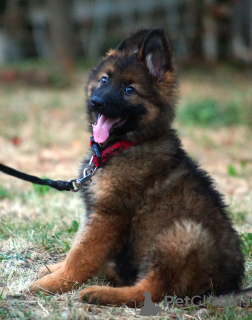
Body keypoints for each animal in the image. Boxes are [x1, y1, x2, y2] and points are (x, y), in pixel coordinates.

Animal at [29, 28, 246, 306]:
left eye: (129, 90)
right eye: (104, 80)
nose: (96, 102)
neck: (125, 145)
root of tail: (227, 287)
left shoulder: (109, 215)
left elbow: (81, 256)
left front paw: (53, 283)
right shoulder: (96, 212)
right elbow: (78, 247)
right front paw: (54, 269)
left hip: (183, 234)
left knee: (150, 290)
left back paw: (98, 293)